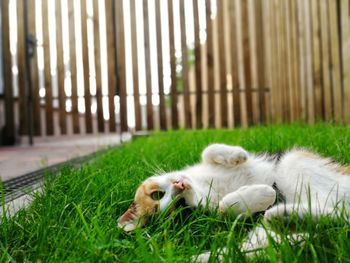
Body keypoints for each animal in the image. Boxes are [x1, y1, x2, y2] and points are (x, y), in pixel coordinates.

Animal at [117, 144, 350, 262]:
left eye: (156, 194)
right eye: (182, 208)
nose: (180, 185)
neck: (202, 184)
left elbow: (208, 151)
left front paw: (237, 154)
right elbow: (222, 207)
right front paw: (263, 193)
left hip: (291, 162)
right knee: (339, 219)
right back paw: (284, 217)